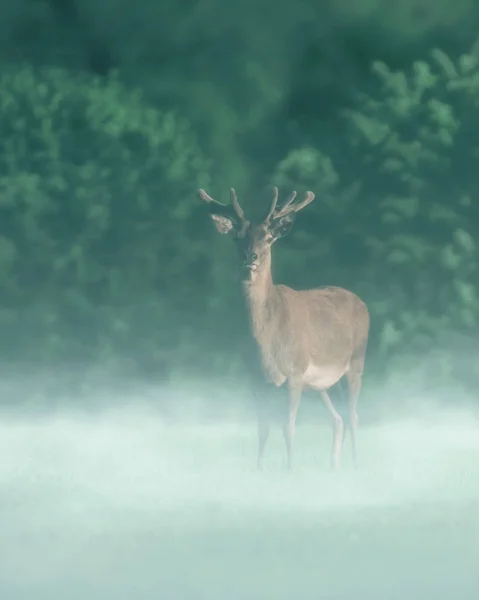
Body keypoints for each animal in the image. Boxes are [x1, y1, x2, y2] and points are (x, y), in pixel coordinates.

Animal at [199, 185, 372, 472]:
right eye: (237, 237)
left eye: (269, 238)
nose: (251, 257)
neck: (267, 339)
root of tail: (362, 303)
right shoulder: (256, 378)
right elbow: (263, 428)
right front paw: (258, 470)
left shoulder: (295, 372)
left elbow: (288, 427)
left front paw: (290, 470)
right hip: (321, 384)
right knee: (338, 419)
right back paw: (334, 466)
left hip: (356, 362)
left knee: (353, 416)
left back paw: (357, 466)